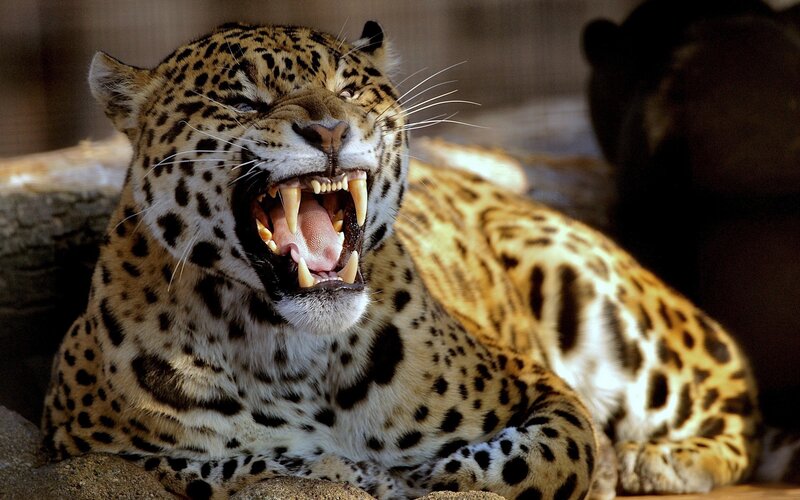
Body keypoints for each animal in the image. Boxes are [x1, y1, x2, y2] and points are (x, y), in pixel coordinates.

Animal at [40, 21, 798, 499]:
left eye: (349, 89)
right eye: (242, 98)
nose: (329, 129)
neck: (289, 353)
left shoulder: (548, 394)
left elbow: (529, 461)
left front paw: (422, 475)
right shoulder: (88, 445)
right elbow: (239, 466)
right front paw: (349, 472)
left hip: (595, 292)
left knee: (734, 405)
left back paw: (654, 461)